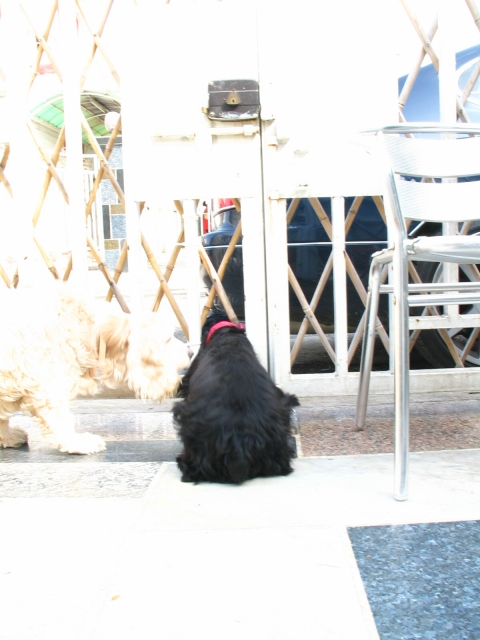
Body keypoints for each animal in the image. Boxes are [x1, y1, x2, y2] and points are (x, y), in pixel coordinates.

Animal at [0, 283, 191, 454]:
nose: (190, 352)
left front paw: (7, 436)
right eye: (168, 339)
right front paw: (77, 443)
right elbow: (59, 415)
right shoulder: (49, 378)